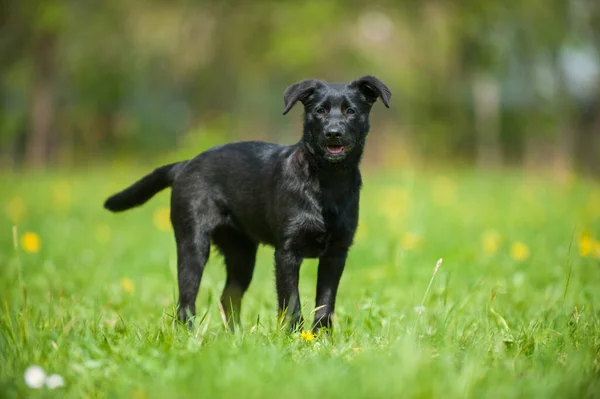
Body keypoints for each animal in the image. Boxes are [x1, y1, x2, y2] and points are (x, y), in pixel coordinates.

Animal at [105, 76, 392, 332]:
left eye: (350, 111)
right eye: (319, 111)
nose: (333, 133)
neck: (327, 181)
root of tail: (184, 165)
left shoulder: (336, 253)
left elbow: (325, 302)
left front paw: (320, 337)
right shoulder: (287, 253)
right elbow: (292, 301)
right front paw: (295, 337)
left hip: (241, 254)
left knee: (228, 297)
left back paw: (235, 337)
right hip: (193, 244)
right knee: (186, 301)